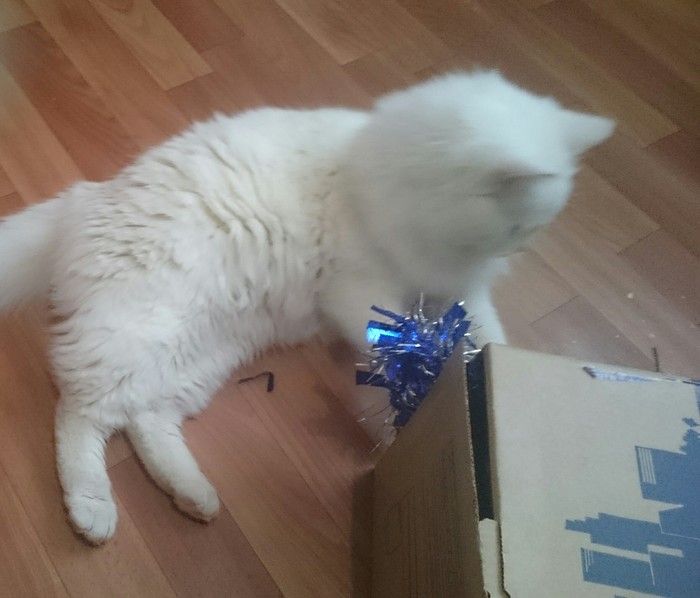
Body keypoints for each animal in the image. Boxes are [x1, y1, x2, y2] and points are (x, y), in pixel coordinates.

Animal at [0, 71, 614, 544]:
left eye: (535, 229)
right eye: (518, 226)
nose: (520, 250)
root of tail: (84, 202)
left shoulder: (463, 292)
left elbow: (487, 336)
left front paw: (480, 381)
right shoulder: (362, 289)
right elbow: (395, 348)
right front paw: (415, 393)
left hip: (201, 356)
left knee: (146, 418)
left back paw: (195, 497)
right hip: (140, 340)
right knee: (81, 413)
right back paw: (93, 513)